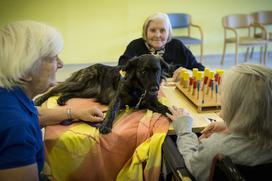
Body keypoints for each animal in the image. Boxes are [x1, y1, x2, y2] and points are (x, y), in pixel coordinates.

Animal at [34, 54, 170, 134]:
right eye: (143, 71)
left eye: (157, 71)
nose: (154, 88)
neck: (139, 88)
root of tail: (86, 67)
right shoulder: (118, 98)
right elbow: (112, 111)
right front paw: (106, 125)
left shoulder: (151, 101)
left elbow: (165, 108)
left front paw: (174, 115)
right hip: (79, 83)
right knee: (55, 88)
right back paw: (40, 99)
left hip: (88, 91)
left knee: (71, 93)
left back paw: (62, 99)